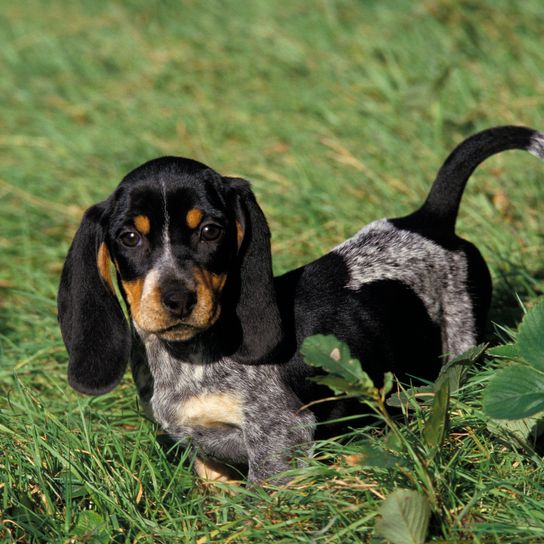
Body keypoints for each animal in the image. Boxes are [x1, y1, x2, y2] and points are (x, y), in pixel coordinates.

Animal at [57, 127, 540, 484]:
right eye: (129, 238)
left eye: (211, 231)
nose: (177, 299)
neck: (189, 360)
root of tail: (428, 220)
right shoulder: (209, 459)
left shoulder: (280, 440)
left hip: (460, 351)